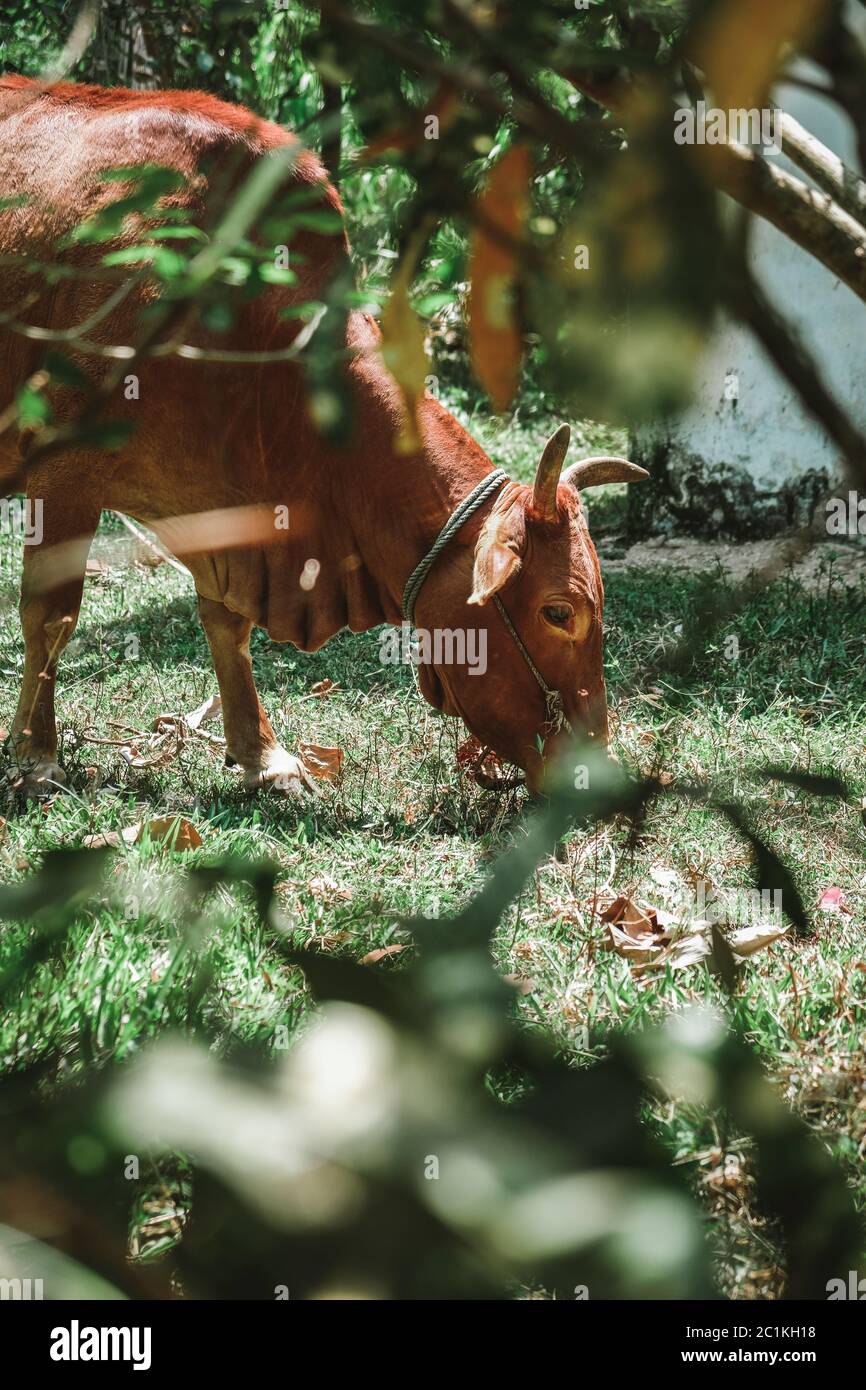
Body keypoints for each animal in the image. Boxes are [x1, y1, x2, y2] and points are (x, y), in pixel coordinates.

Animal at [0, 75, 646, 797]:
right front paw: (36, 758)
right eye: (559, 612)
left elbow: (228, 623)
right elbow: (51, 617)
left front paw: (262, 756)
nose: (599, 774)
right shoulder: (64, 473)